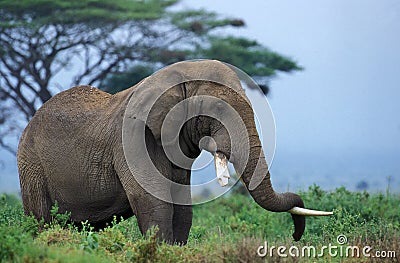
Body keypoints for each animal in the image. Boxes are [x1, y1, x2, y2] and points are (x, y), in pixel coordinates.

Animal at [18, 59, 332, 245]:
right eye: (217, 110)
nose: (295, 236)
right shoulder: (132, 141)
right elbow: (154, 201)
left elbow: (181, 205)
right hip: (30, 164)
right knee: (41, 220)